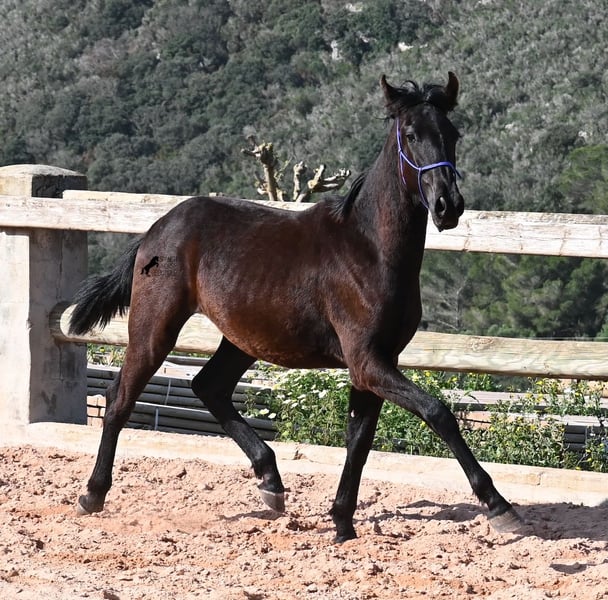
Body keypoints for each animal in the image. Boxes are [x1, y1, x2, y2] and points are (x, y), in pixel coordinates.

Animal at [69, 72, 523, 542]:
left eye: (452, 133)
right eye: (411, 134)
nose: (448, 206)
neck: (370, 250)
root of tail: (156, 228)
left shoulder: (376, 362)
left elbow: (359, 440)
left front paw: (342, 524)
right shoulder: (368, 361)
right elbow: (438, 413)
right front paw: (498, 505)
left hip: (243, 338)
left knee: (209, 386)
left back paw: (271, 482)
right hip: (156, 325)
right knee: (120, 397)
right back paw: (92, 495)